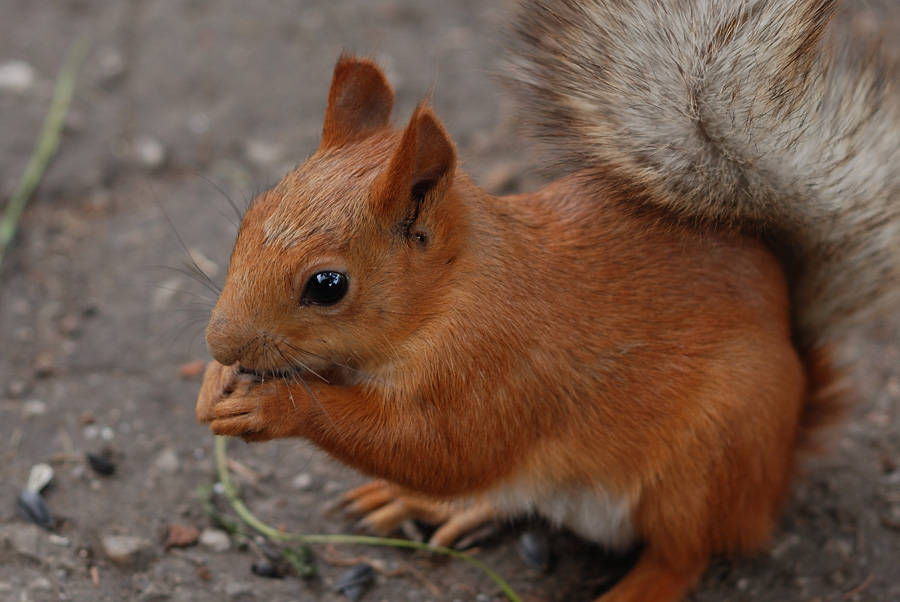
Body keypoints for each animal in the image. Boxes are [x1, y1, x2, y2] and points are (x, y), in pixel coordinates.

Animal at [195, 1, 900, 600]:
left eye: (327, 285)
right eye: (250, 216)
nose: (218, 340)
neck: (454, 289)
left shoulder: (500, 365)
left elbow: (440, 448)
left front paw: (274, 406)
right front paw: (213, 382)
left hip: (710, 459)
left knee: (684, 554)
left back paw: (633, 588)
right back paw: (423, 505)